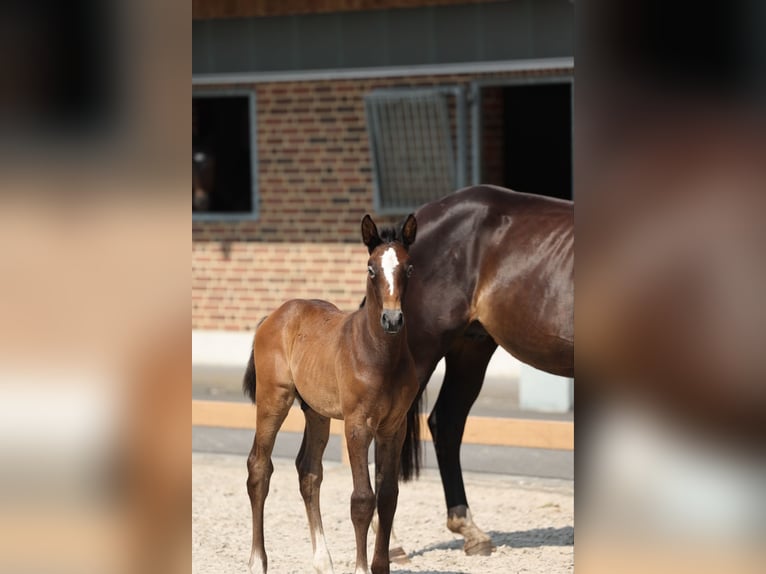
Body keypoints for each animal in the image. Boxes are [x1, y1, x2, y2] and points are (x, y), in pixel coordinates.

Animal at [243, 214, 420, 574]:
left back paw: (323, 560)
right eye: (370, 268)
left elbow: (389, 496)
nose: (392, 319)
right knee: (259, 467)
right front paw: (362, 568)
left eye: (408, 268)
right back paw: (257, 561)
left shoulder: (393, 428)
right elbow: (363, 499)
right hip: (274, 400)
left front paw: (380, 566)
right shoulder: (357, 426)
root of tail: (274, 316)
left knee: (309, 471)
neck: (379, 355)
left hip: (316, 411)